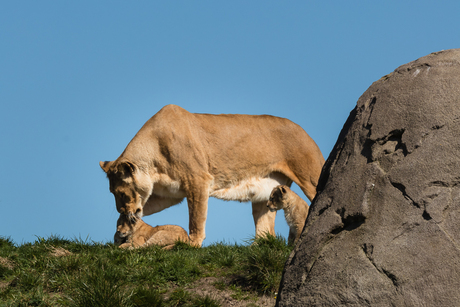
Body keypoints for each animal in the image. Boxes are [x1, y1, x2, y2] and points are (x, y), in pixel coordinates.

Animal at [100, 104, 324, 247]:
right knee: (266, 231)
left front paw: (192, 244)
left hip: (311, 176)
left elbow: (196, 217)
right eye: (112, 193)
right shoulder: (170, 194)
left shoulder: (197, 180)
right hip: (266, 194)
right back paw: (257, 247)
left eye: (121, 193)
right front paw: (123, 226)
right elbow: (147, 207)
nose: (121, 209)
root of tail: (303, 131)